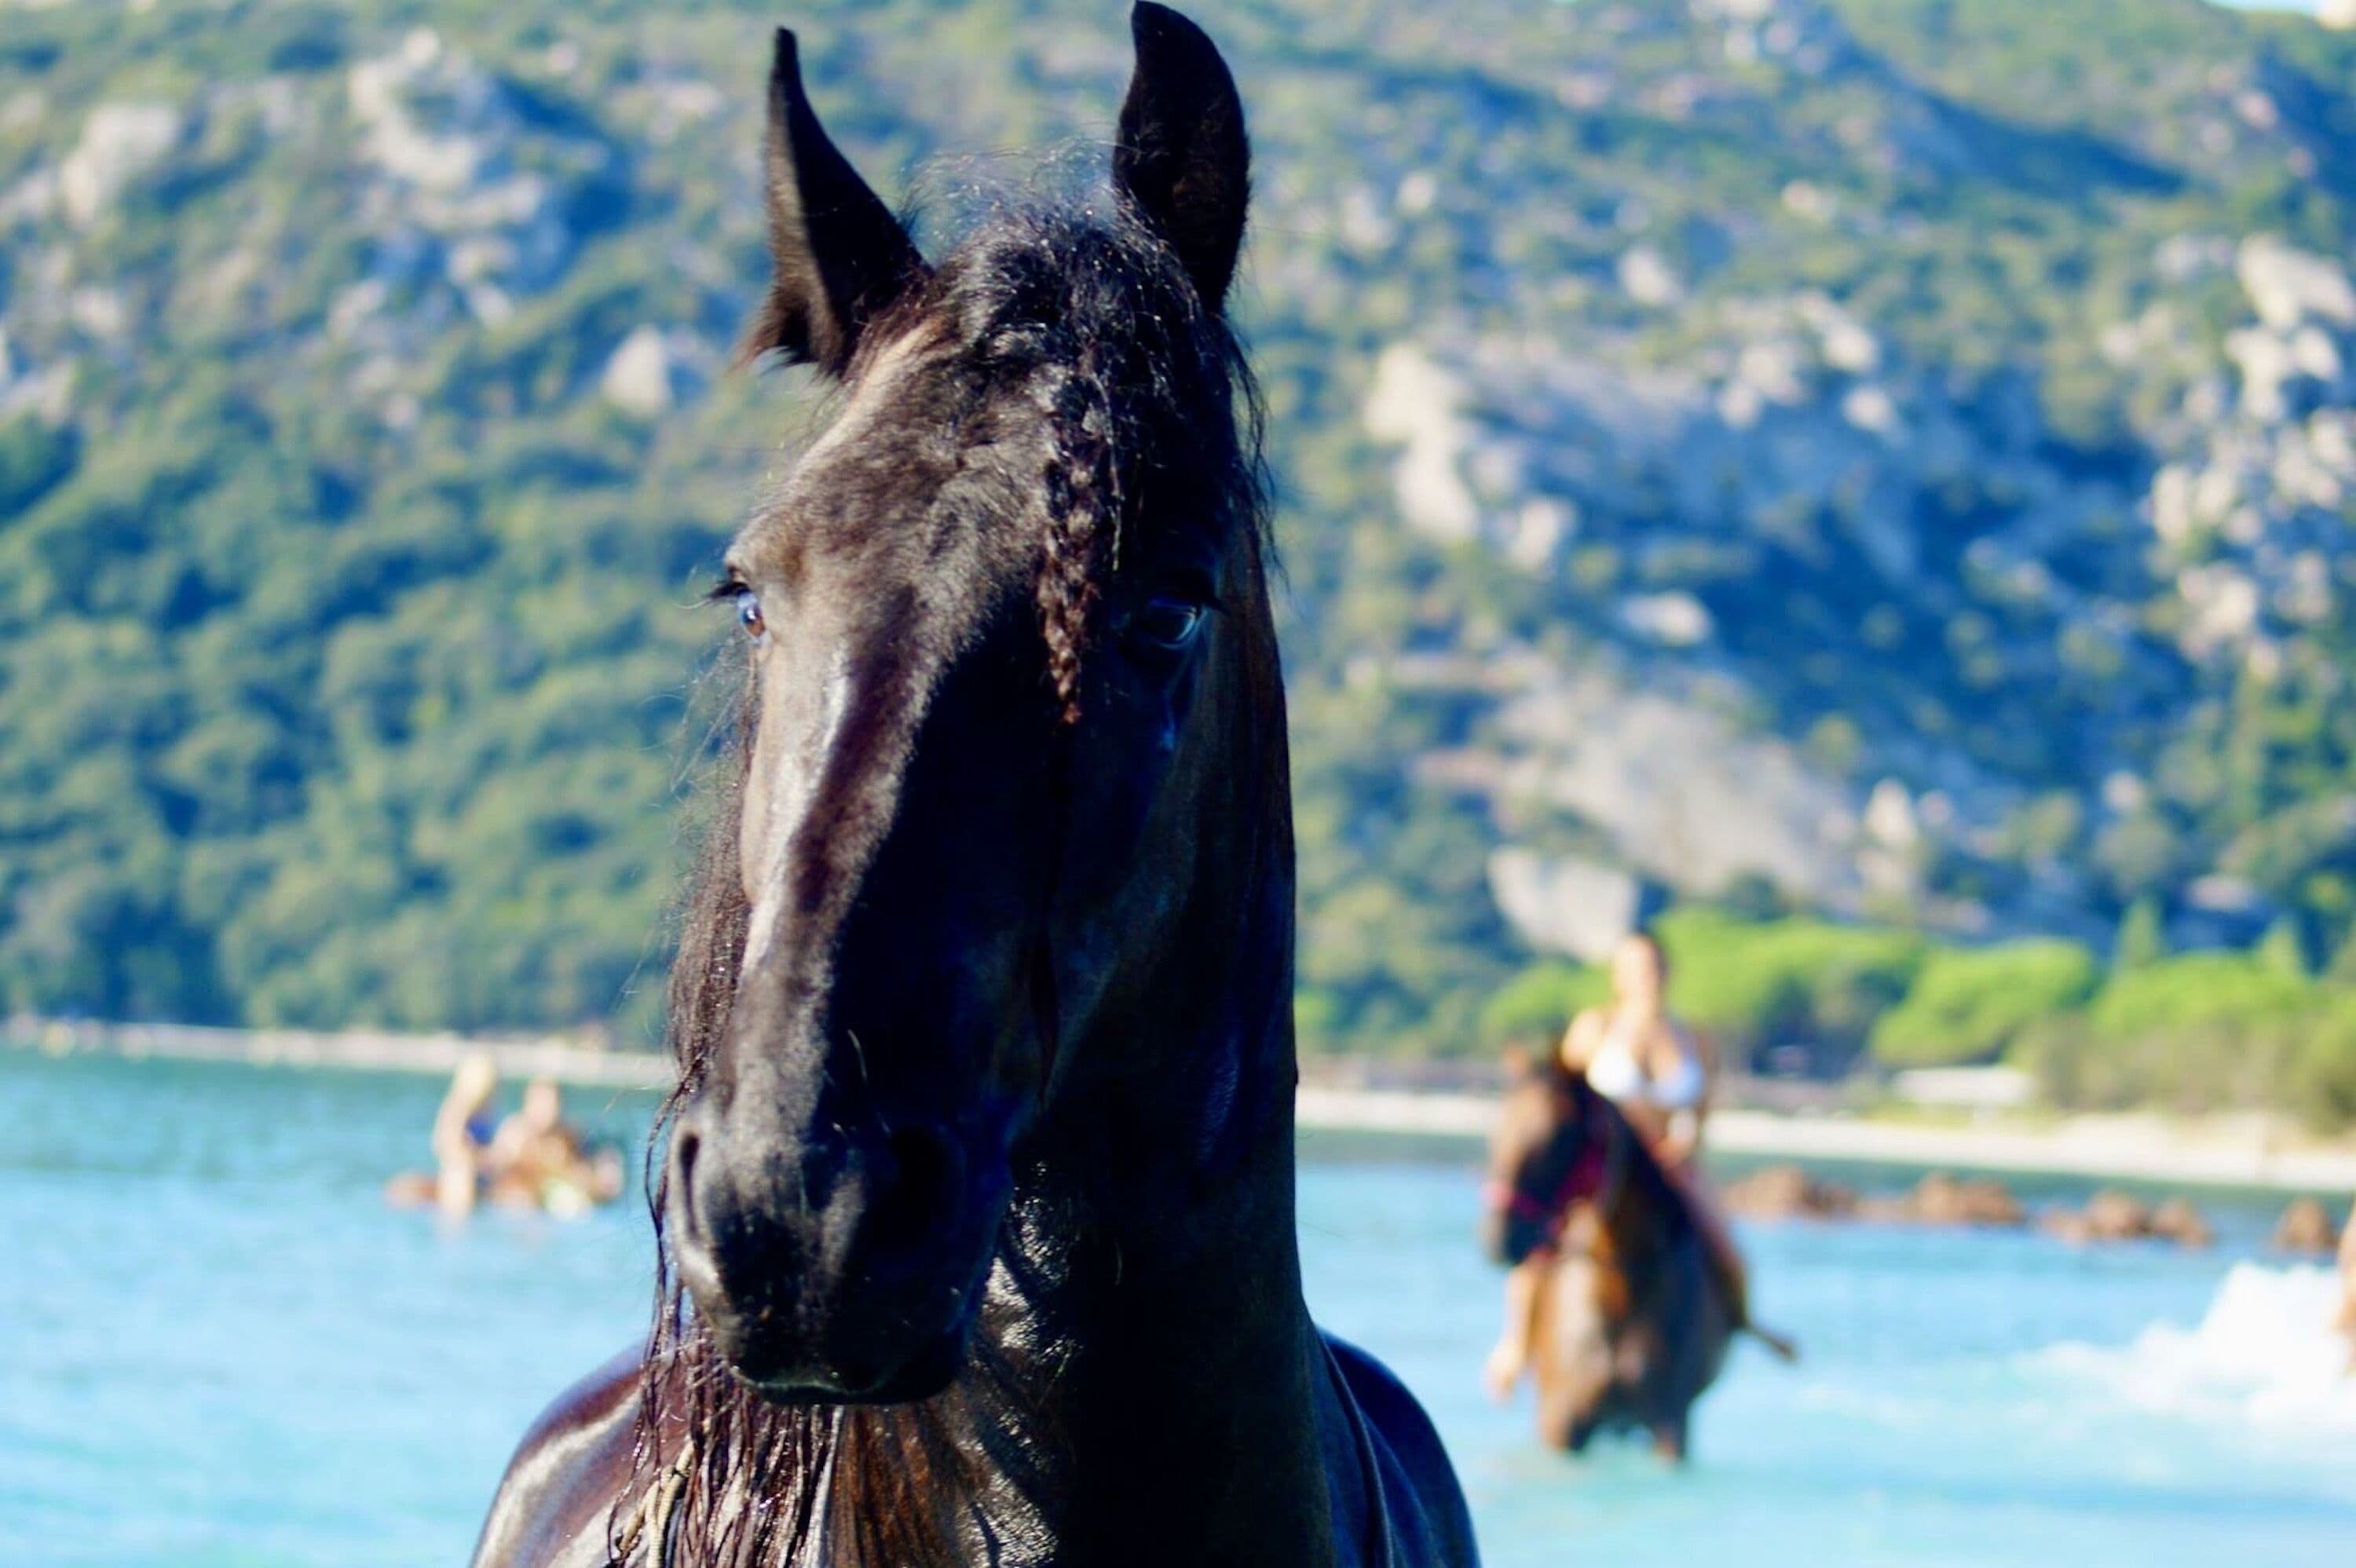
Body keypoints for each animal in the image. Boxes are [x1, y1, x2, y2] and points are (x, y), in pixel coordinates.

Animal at [1480, 1054, 1793, 1461]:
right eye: (1499, 1127)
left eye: (1560, 1138)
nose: (1497, 1237)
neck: (1619, 1290)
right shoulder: (1561, 1420)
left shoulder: (1671, 1424)